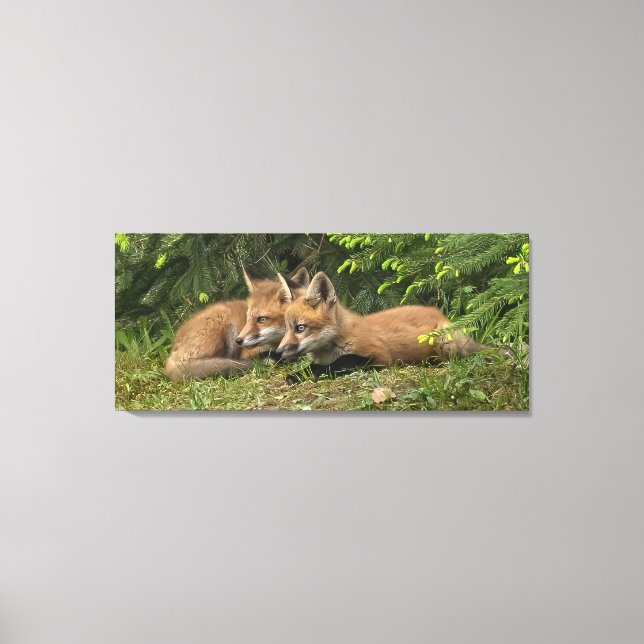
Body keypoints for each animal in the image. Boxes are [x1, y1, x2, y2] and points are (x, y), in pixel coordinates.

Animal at [276, 271, 487, 374]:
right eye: (287, 328)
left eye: (300, 328)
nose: (278, 352)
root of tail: (440, 314)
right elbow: (313, 367)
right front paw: (301, 374)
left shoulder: (380, 357)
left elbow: (343, 361)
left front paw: (297, 376)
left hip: (444, 344)